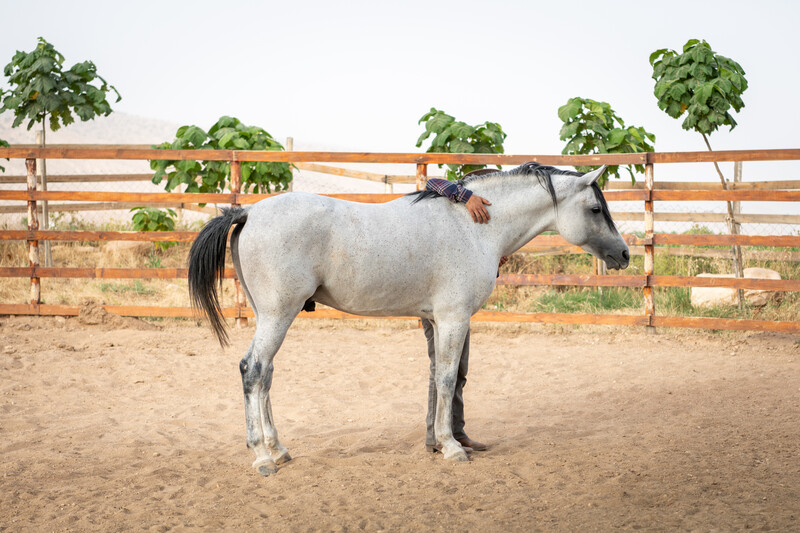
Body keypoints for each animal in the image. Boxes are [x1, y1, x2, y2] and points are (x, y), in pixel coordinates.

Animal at [188, 161, 630, 476]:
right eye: (595, 208)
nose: (624, 254)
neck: (473, 227)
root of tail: (247, 212)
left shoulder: (435, 321)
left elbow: (436, 378)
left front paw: (437, 442)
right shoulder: (453, 319)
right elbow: (449, 379)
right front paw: (451, 447)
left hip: (270, 316)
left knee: (265, 375)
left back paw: (279, 449)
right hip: (278, 314)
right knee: (253, 369)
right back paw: (262, 457)